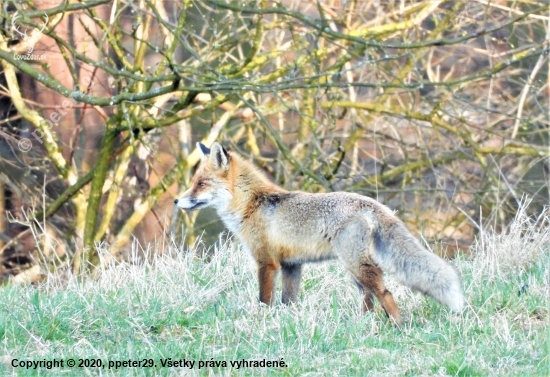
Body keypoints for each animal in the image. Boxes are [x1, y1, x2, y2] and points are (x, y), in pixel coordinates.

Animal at [177, 141, 466, 324]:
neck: (254, 205)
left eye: (201, 184)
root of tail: (371, 203)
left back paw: (398, 326)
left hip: (354, 264)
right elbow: (288, 300)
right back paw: (362, 326)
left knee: (384, 293)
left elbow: (264, 299)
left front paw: (260, 321)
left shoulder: (266, 262)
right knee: (369, 297)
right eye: (193, 183)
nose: (177, 201)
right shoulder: (291, 265)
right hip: (354, 269)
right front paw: (287, 322)